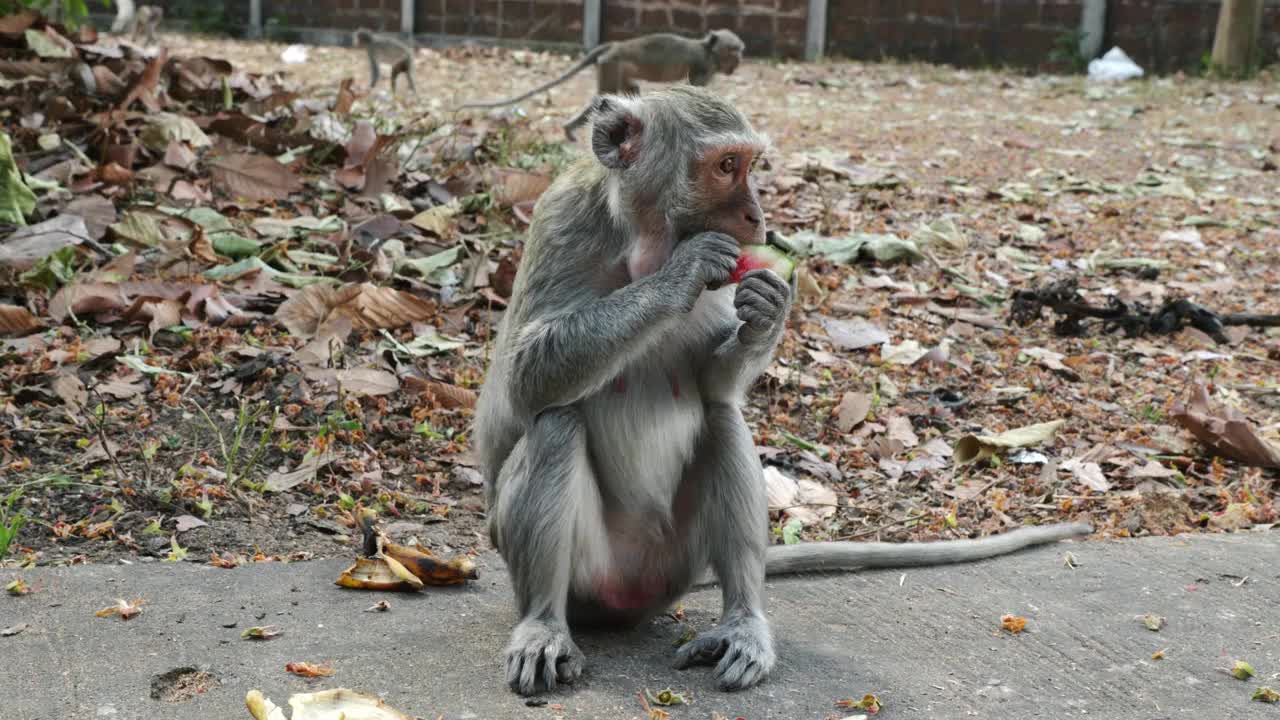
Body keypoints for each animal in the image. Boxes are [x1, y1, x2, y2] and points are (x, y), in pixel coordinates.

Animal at [455, 28, 747, 140]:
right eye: (734, 51)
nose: (740, 60)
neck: (708, 50)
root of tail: (615, 46)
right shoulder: (703, 67)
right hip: (611, 64)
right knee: (602, 98)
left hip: (616, 67)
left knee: (628, 94)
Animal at [471, 85, 1090, 696]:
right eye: (726, 166)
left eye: (752, 166)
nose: (757, 216)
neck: (642, 244)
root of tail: (633, 598)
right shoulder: (563, 220)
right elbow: (526, 376)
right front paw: (681, 274)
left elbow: (712, 383)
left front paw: (769, 311)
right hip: (593, 575)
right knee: (555, 425)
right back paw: (545, 625)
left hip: (675, 559)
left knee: (721, 419)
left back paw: (742, 624)